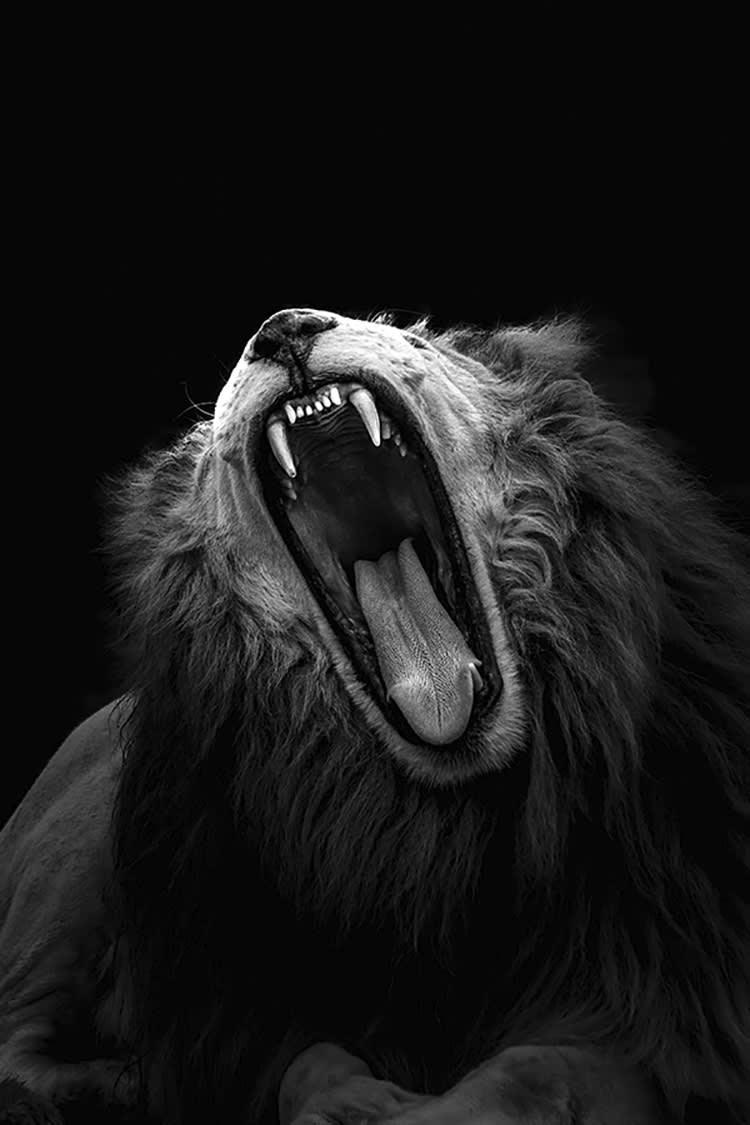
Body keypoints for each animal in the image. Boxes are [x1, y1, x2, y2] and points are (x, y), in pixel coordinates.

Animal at [1, 308, 748, 1124]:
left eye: (415, 341)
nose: (284, 329)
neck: (428, 831)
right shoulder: (242, 1004)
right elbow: (307, 1063)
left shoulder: (667, 997)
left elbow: (538, 1065)